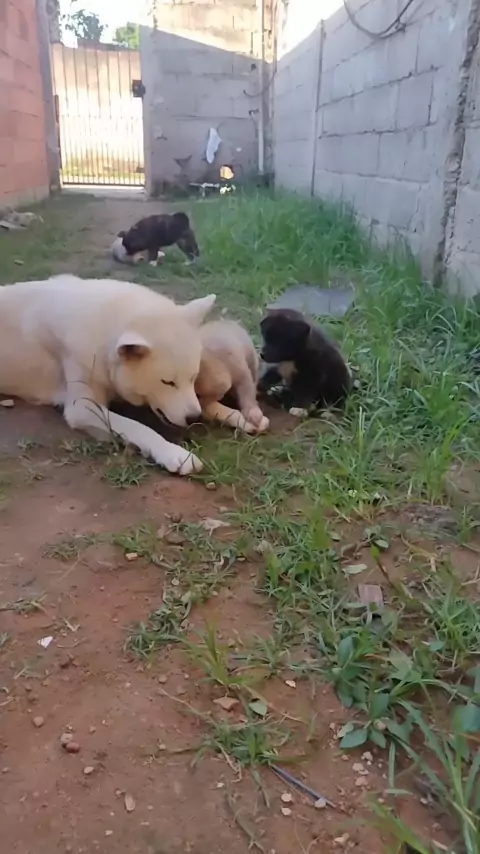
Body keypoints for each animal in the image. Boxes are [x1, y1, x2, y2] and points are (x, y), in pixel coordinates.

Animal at [0, 275, 216, 475]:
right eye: (168, 382)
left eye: (193, 378)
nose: (194, 417)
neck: (104, 326)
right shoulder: (83, 408)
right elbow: (138, 427)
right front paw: (173, 453)